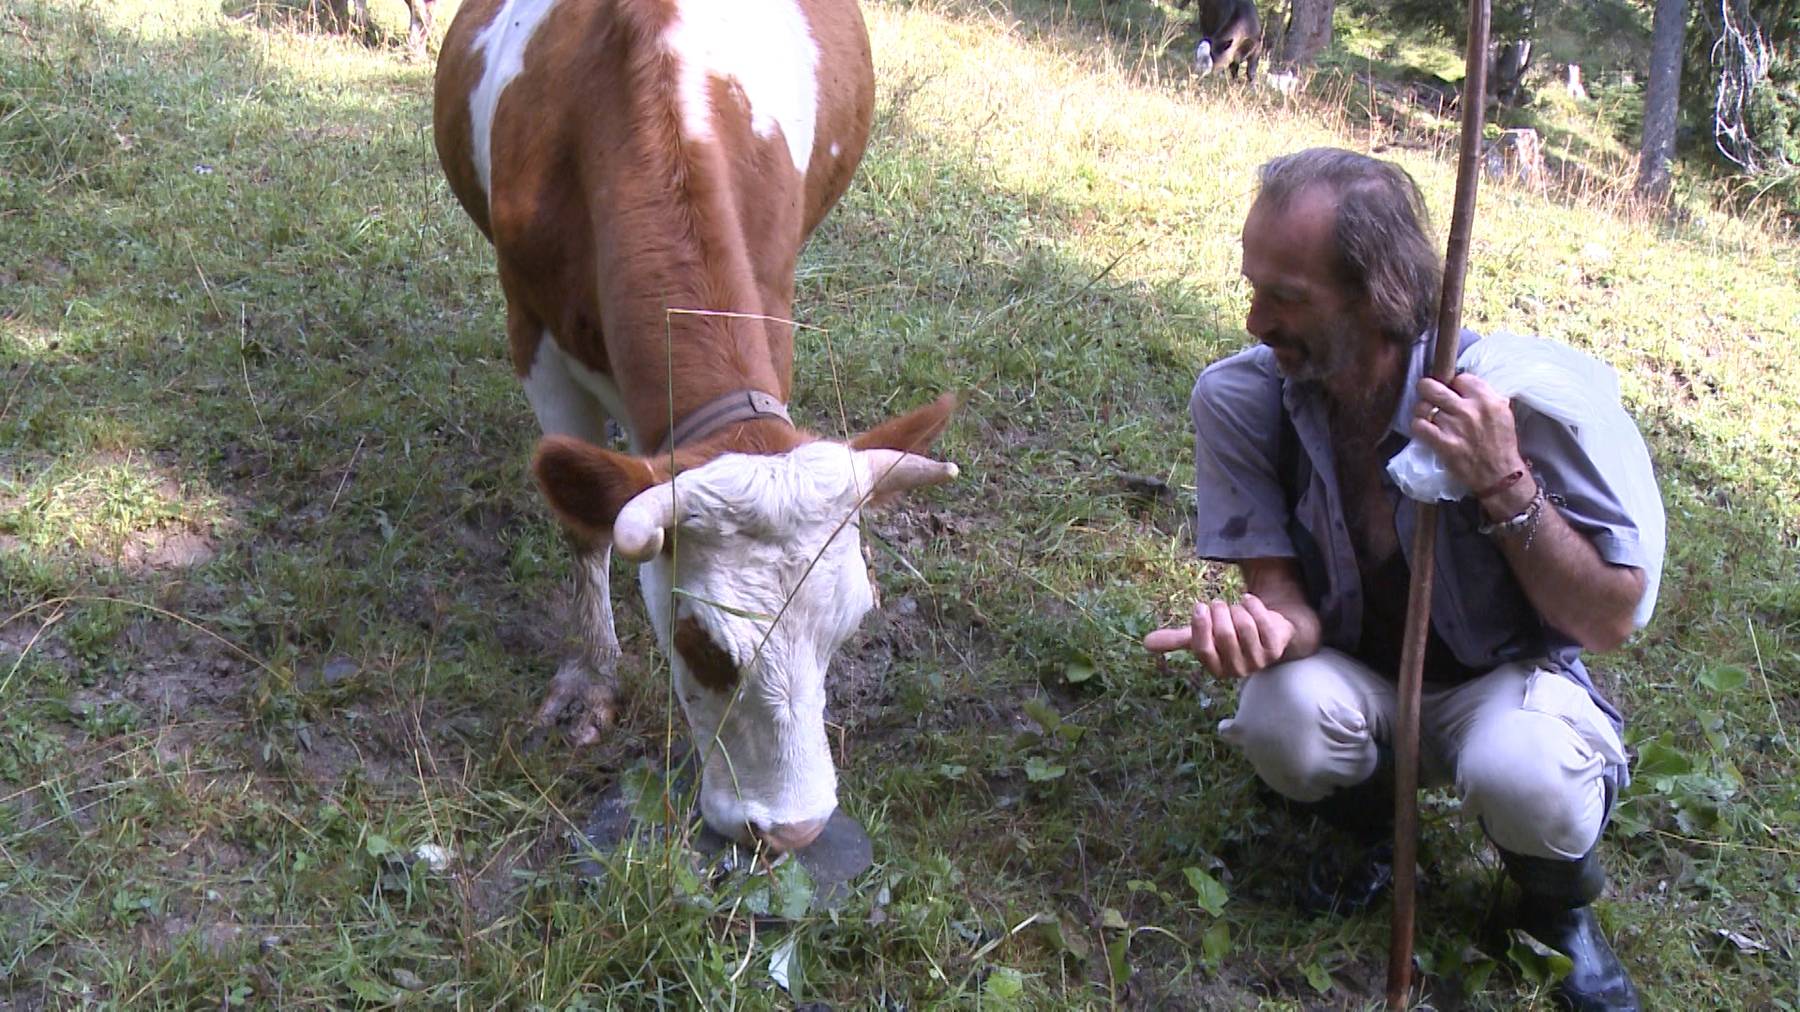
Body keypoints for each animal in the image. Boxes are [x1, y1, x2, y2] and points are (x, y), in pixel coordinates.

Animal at [433, 0, 957, 849]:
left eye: (849, 630)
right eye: (701, 645)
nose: (795, 832)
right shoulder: (531, 326)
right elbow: (583, 526)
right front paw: (592, 679)